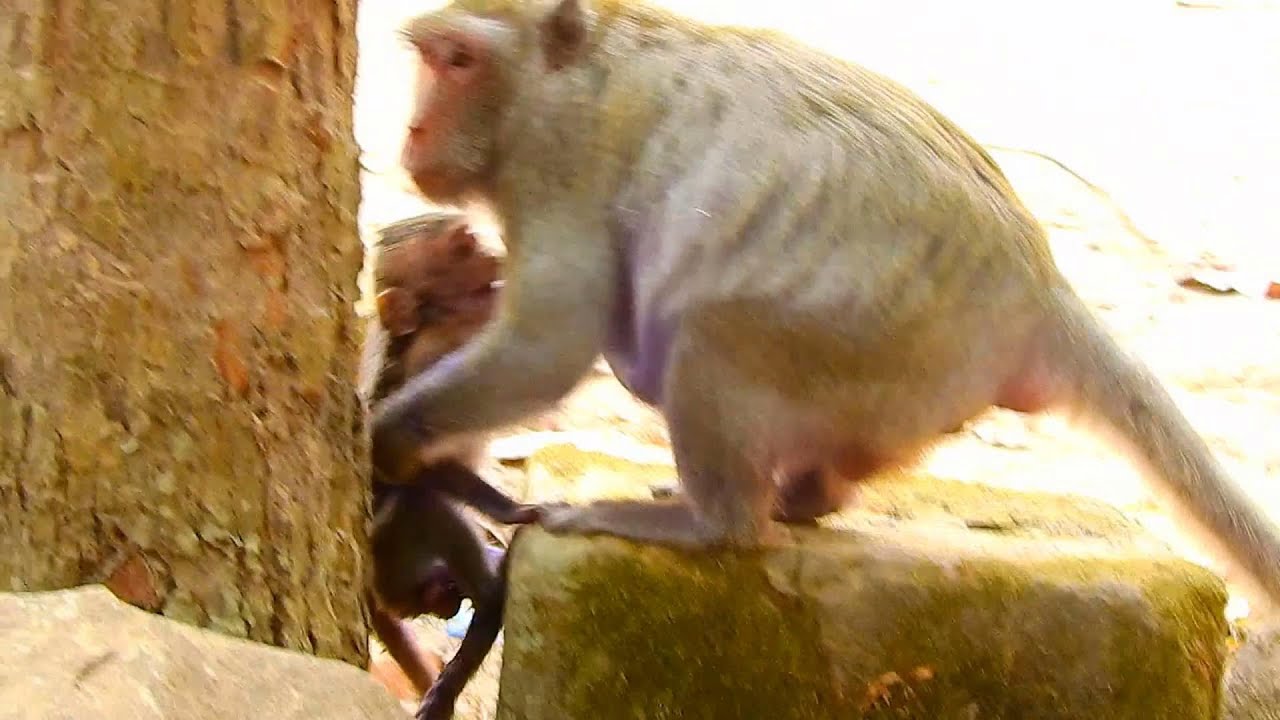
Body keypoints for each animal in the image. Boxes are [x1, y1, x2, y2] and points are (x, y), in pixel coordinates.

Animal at [370, 0, 1280, 614]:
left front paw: (388, 438)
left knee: (711, 336)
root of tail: (1040, 291)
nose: (410, 133)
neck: (571, 66)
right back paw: (805, 497)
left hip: (882, 352)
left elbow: (550, 344)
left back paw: (717, 523)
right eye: (429, 59)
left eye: (458, 62)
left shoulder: (557, 159)